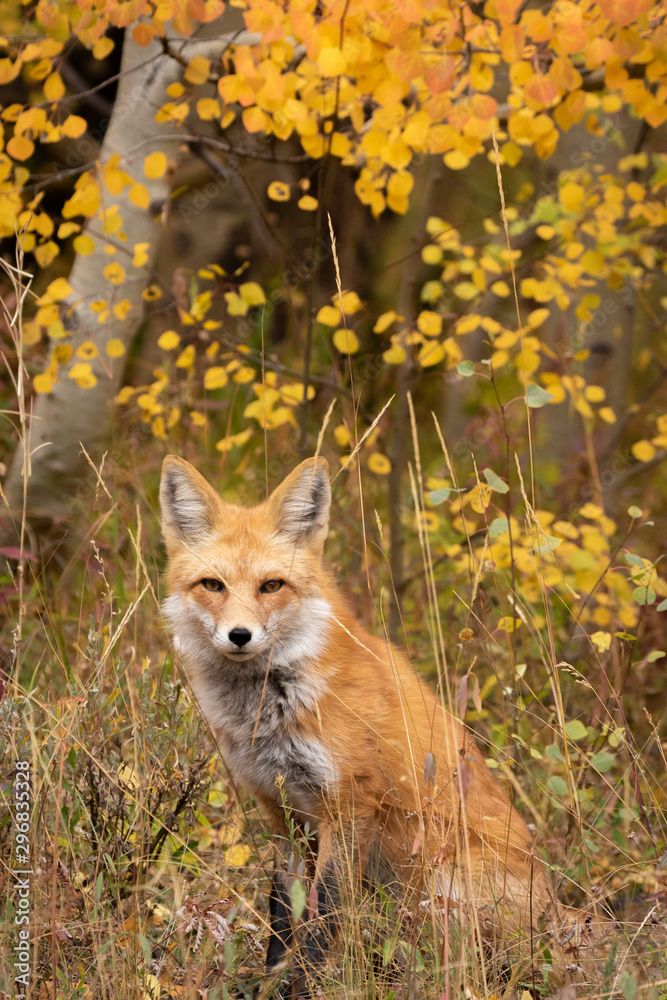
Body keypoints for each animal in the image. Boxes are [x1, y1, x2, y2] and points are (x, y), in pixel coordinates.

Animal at [159, 455, 607, 997]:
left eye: (272, 586)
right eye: (213, 585)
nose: (240, 635)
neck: (272, 710)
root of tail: (553, 914)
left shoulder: (351, 805)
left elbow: (322, 917)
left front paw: (300, 988)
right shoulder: (283, 813)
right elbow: (283, 914)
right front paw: (271, 980)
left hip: (441, 879)